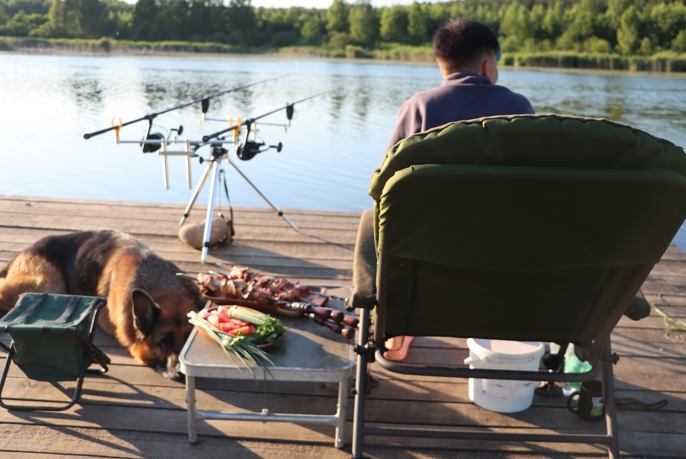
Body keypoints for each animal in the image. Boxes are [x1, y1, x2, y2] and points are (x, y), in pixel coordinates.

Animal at [0, 232, 204, 380]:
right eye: (165, 340)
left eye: (189, 338)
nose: (183, 373)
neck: (162, 286)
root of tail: (25, 250)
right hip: (46, 284)